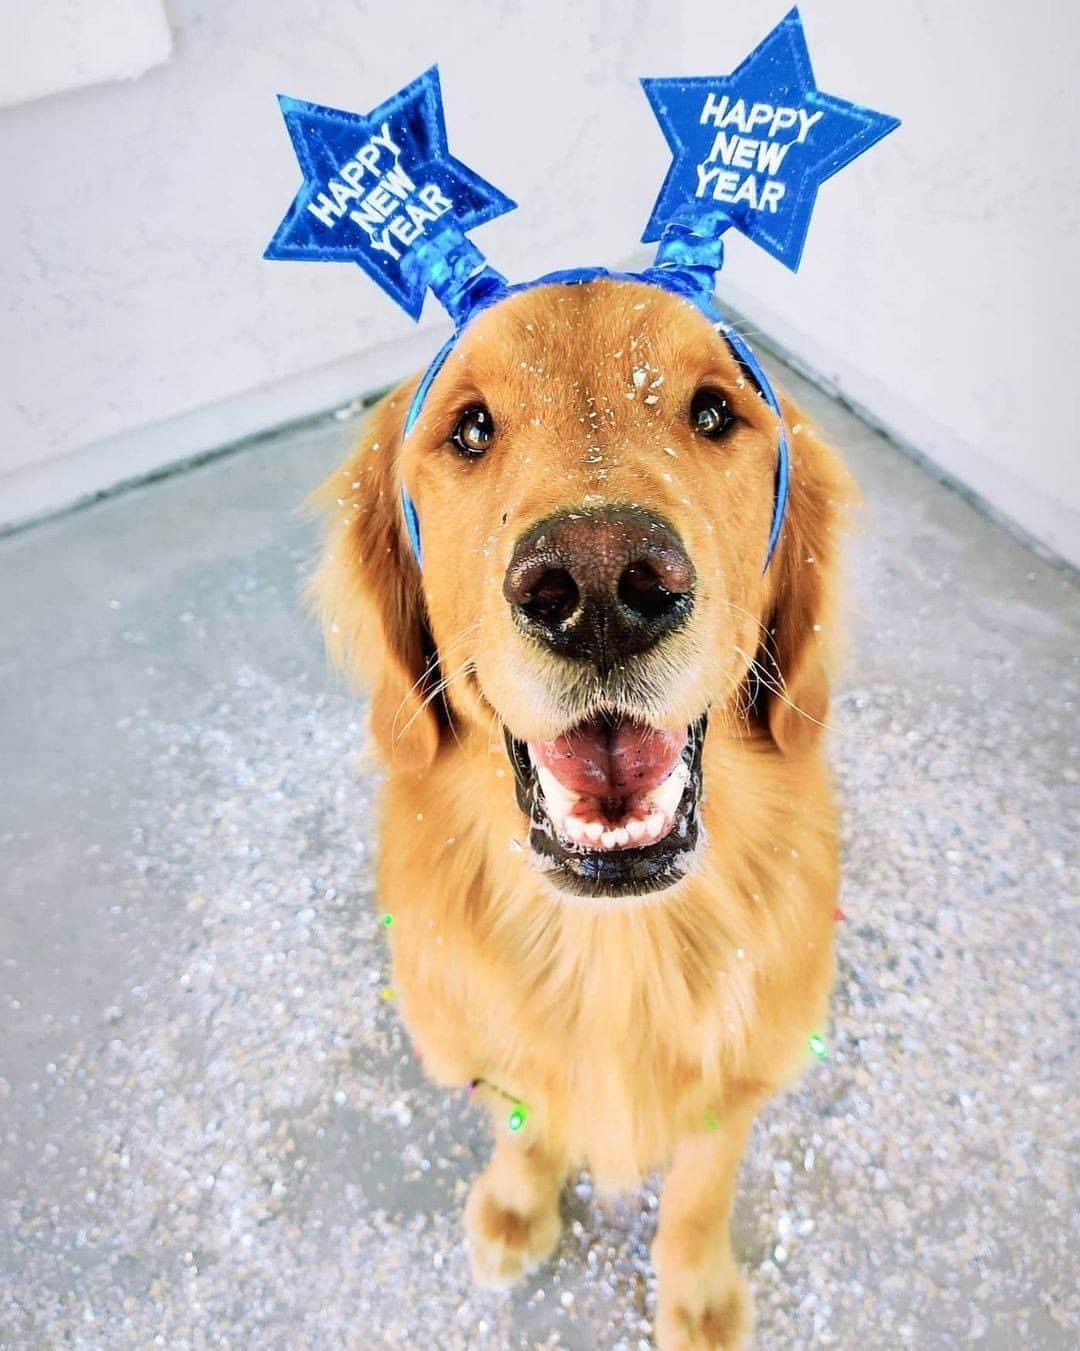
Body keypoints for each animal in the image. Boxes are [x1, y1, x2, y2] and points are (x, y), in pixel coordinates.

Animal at [308, 276, 859, 1351]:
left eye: (712, 412)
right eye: (471, 428)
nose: (602, 583)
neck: (614, 945)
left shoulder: (737, 1084)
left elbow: (699, 1188)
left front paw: (696, 1293)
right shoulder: (488, 1053)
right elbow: (524, 1127)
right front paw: (516, 1209)